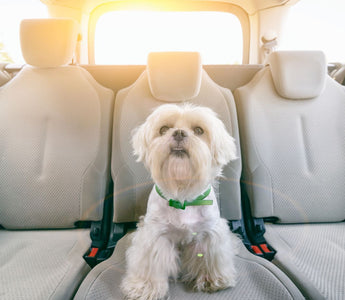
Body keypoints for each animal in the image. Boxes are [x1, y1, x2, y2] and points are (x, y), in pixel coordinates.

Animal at [121, 103, 239, 300]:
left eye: (199, 130)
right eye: (163, 129)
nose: (179, 133)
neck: (183, 197)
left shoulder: (208, 233)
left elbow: (209, 258)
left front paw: (212, 280)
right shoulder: (155, 236)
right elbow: (150, 264)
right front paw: (146, 287)